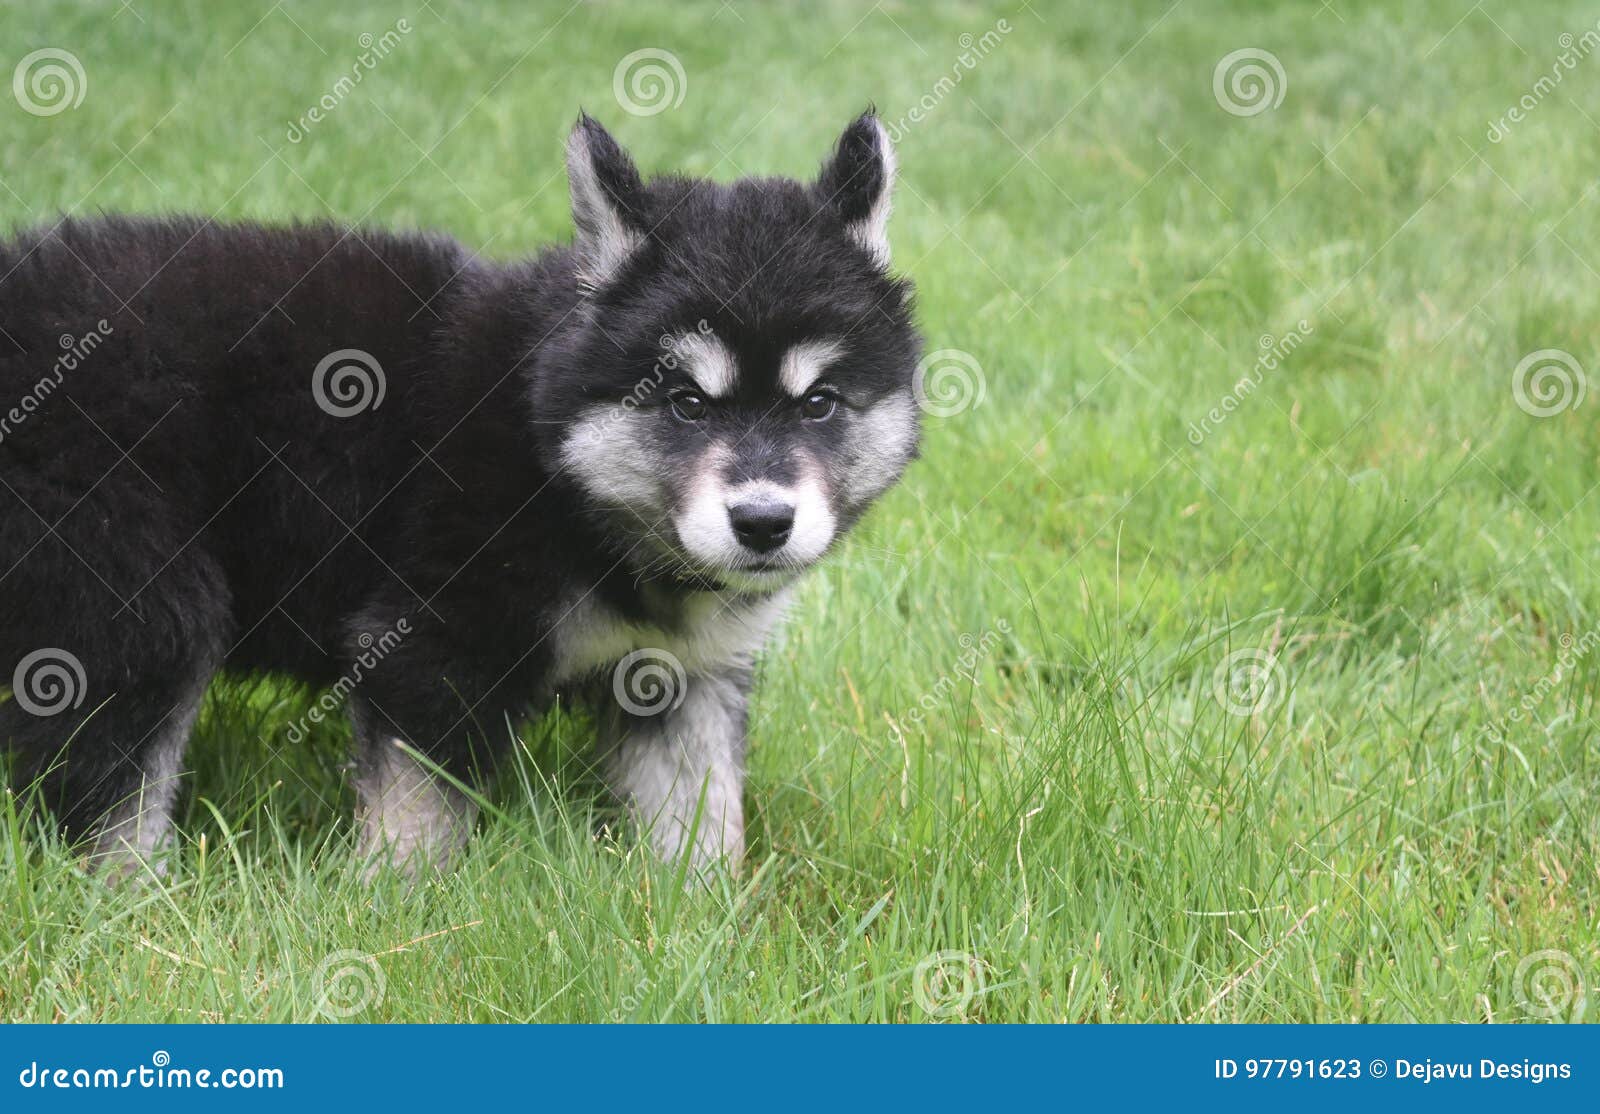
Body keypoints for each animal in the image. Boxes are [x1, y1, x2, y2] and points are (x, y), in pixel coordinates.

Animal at [0, 111, 921, 877]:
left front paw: (709, 920)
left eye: (819, 403)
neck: (557, 466)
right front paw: (394, 914)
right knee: (113, 793)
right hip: (140, 603)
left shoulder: (681, 673)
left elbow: (703, 812)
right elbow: (419, 821)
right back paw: (138, 906)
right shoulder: (429, 646)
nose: (764, 523)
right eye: (687, 404)